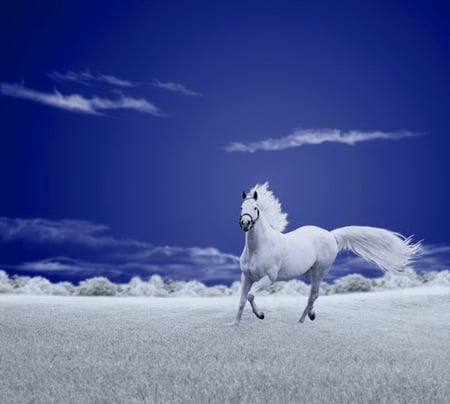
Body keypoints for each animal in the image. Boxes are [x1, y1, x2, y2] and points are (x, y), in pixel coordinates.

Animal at [232, 183, 422, 326]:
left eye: (255, 208)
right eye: (241, 207)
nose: (245, 223)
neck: (258, 248)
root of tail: (331, 235)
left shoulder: (269, 278)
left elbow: (250, 295)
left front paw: (261, 315)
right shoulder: (246, 277)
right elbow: (241, 300)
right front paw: (235, 324)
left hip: (320, 270)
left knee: (313, 294)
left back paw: (301, 320)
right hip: (309, 272)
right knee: (315, 293)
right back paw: (311, 314)